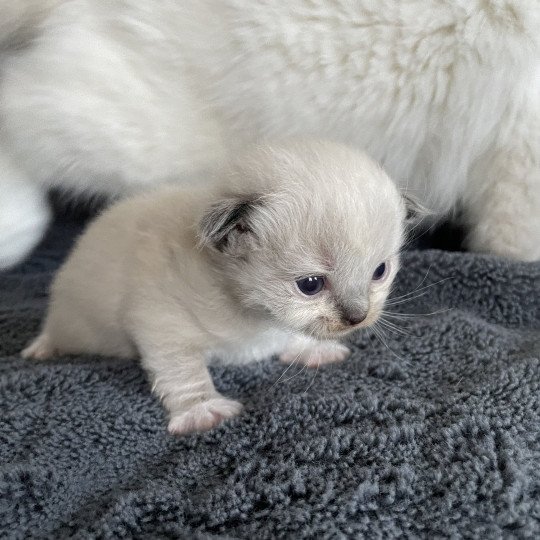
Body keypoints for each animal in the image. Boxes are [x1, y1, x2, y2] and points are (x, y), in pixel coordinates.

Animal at [23, 139, 408, 434]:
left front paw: (313, 350)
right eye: (310, 285)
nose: (358, 318)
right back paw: (41, 349)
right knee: (54, 332)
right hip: (72, 321)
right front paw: (202, 413)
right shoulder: (161, 322)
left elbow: (296, 334)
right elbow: (184, 372)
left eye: (379, 272)